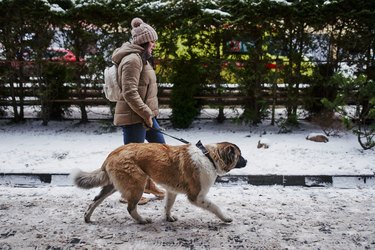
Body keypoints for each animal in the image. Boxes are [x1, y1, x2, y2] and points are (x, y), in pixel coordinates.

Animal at [71, 141, 248, 225]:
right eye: (239, 155)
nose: (247, 161)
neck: (209, 156)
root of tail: (113, 153)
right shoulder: (197, 197)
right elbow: (215, 207)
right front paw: (226, 218)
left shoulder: (172, 191)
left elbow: (168, 205)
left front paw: (168, 218)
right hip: (138, 184)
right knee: (130, 208)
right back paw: (142, 220)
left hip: (113, 186)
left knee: (95, 201)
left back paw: (87, 218)